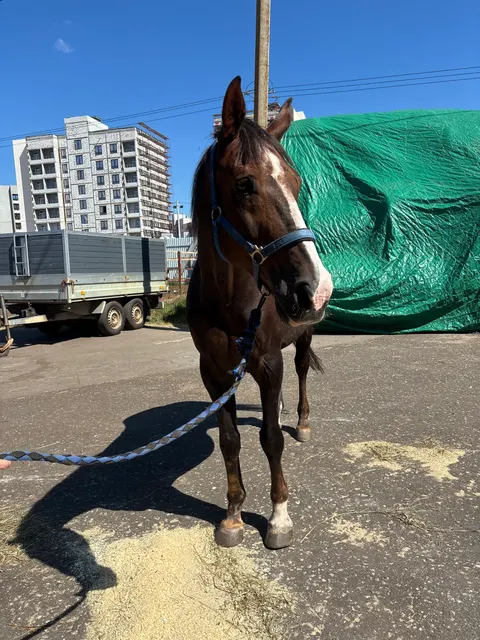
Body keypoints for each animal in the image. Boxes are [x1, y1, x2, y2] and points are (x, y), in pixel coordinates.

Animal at [186, 76, 333, 550]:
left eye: (297, 182)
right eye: (245, 184)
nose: (316, 288)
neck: (230, 301)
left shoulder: (268, 363)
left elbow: (269, 438)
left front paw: (279, 517)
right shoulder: (214, 371)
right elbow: (230, 439)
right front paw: (233, 515)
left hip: (302, 337)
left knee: (301, 370)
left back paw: (300, 421)